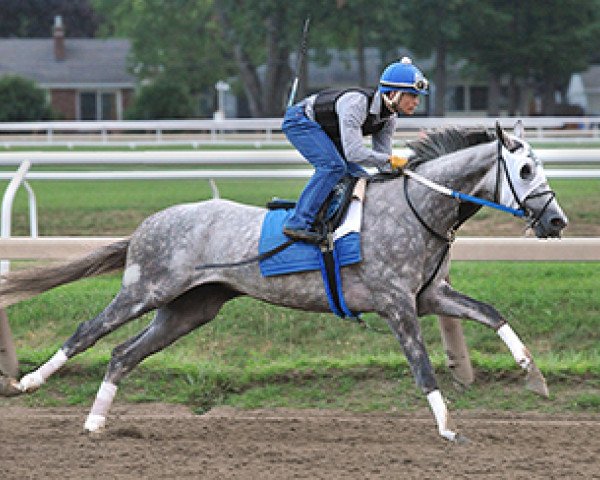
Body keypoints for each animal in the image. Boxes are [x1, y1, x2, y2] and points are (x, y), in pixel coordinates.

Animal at [0, 123, 568, 442]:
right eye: (523, 169)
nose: (557, 221)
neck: (417, 207)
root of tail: (148, 224)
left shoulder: (430, 296)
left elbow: (493, 313)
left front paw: (534, 376)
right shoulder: (396, 304)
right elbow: (422, 366)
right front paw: (448, 426)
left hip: (190, 309)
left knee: (122, 354)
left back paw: (95, 423)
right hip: (147, 289)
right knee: (87, 333)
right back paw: (28, 382)